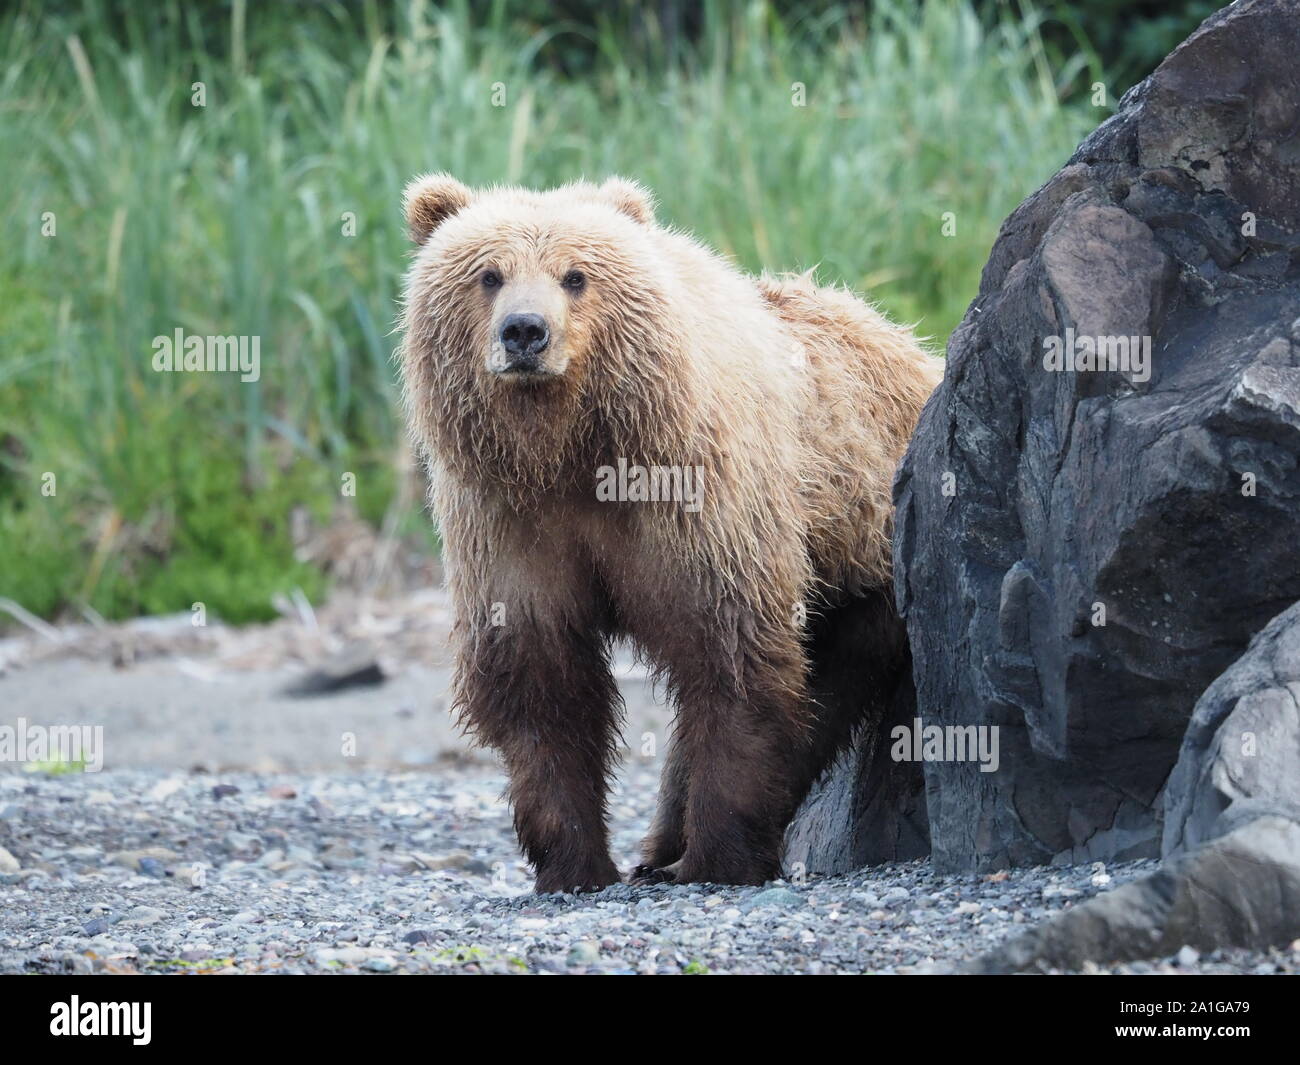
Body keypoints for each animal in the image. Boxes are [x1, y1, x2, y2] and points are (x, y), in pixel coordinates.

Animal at [398, 174, 941, 892]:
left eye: (575, 275)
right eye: (489, 274)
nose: (525, 332)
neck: (571, 452)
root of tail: (918, 351)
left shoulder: (695, 502)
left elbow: (730, 654)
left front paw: (720, 857)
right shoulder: (508, 523)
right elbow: (540, 675)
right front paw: (573, 862)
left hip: (868, 555)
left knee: (821, 692)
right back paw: (658, 848)